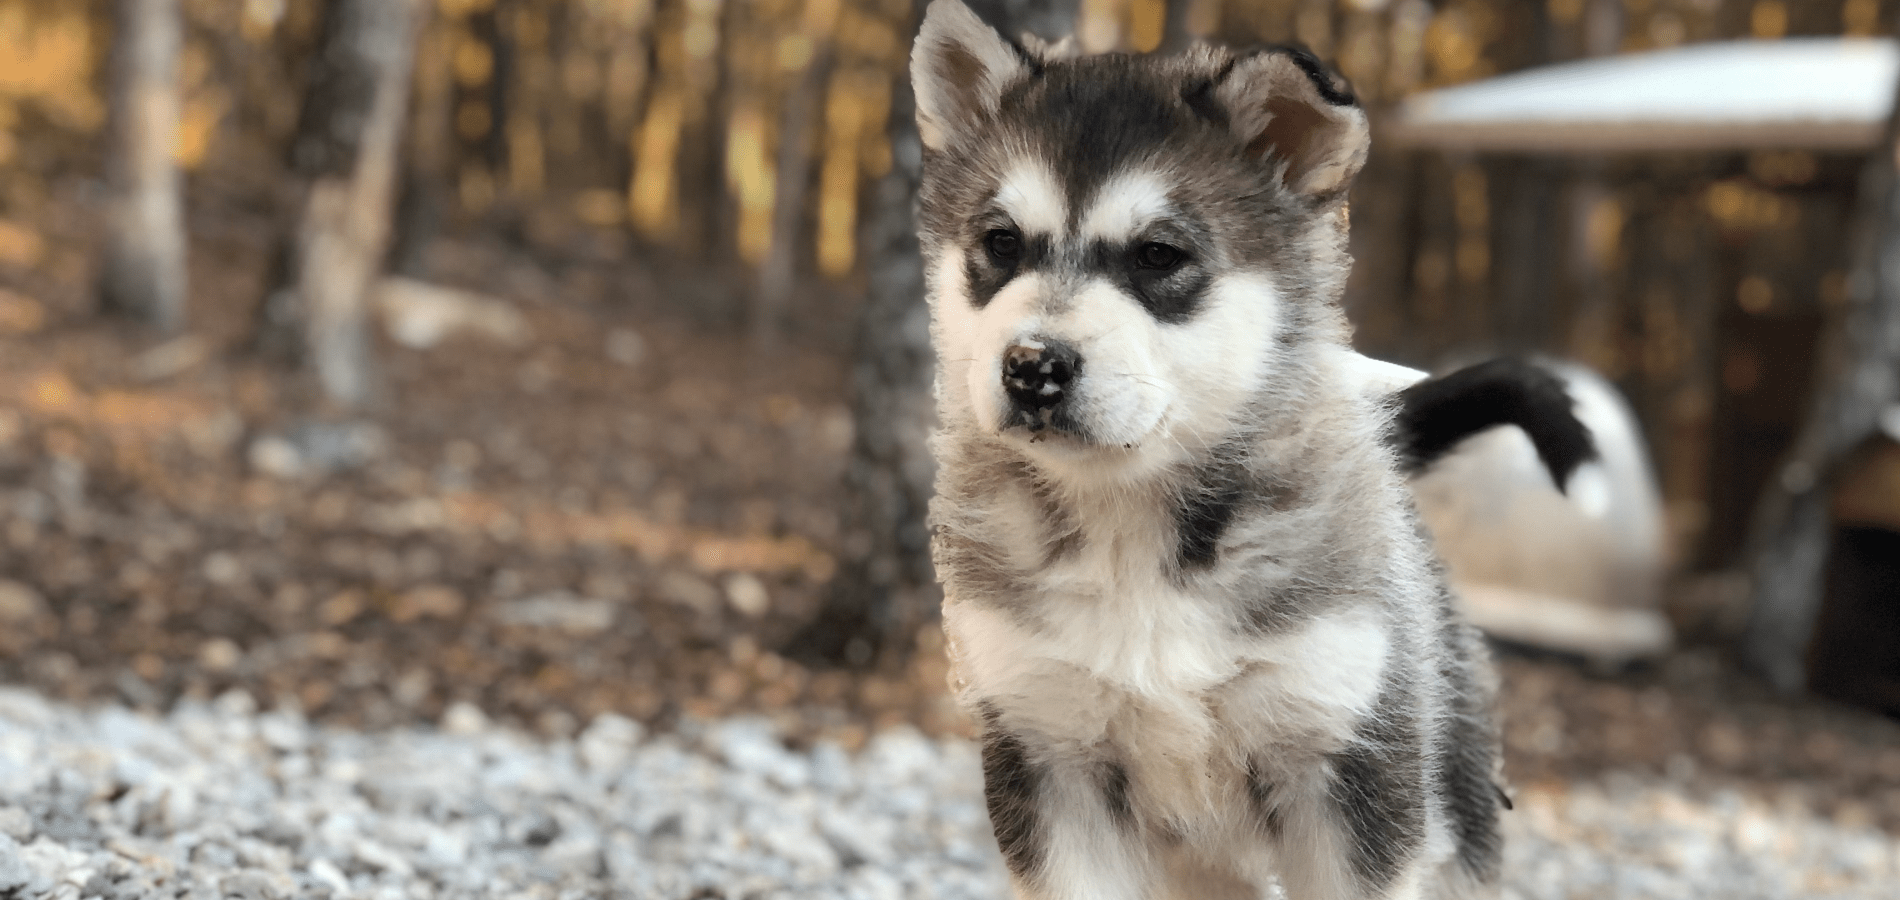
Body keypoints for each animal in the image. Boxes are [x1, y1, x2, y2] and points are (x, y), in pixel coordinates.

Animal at [919, 3, 1512, 896]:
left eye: (1158, 254)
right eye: (1001, 242)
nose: (1031, 366)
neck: (1130, 533)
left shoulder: (1347, 764)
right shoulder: (1050, 751)